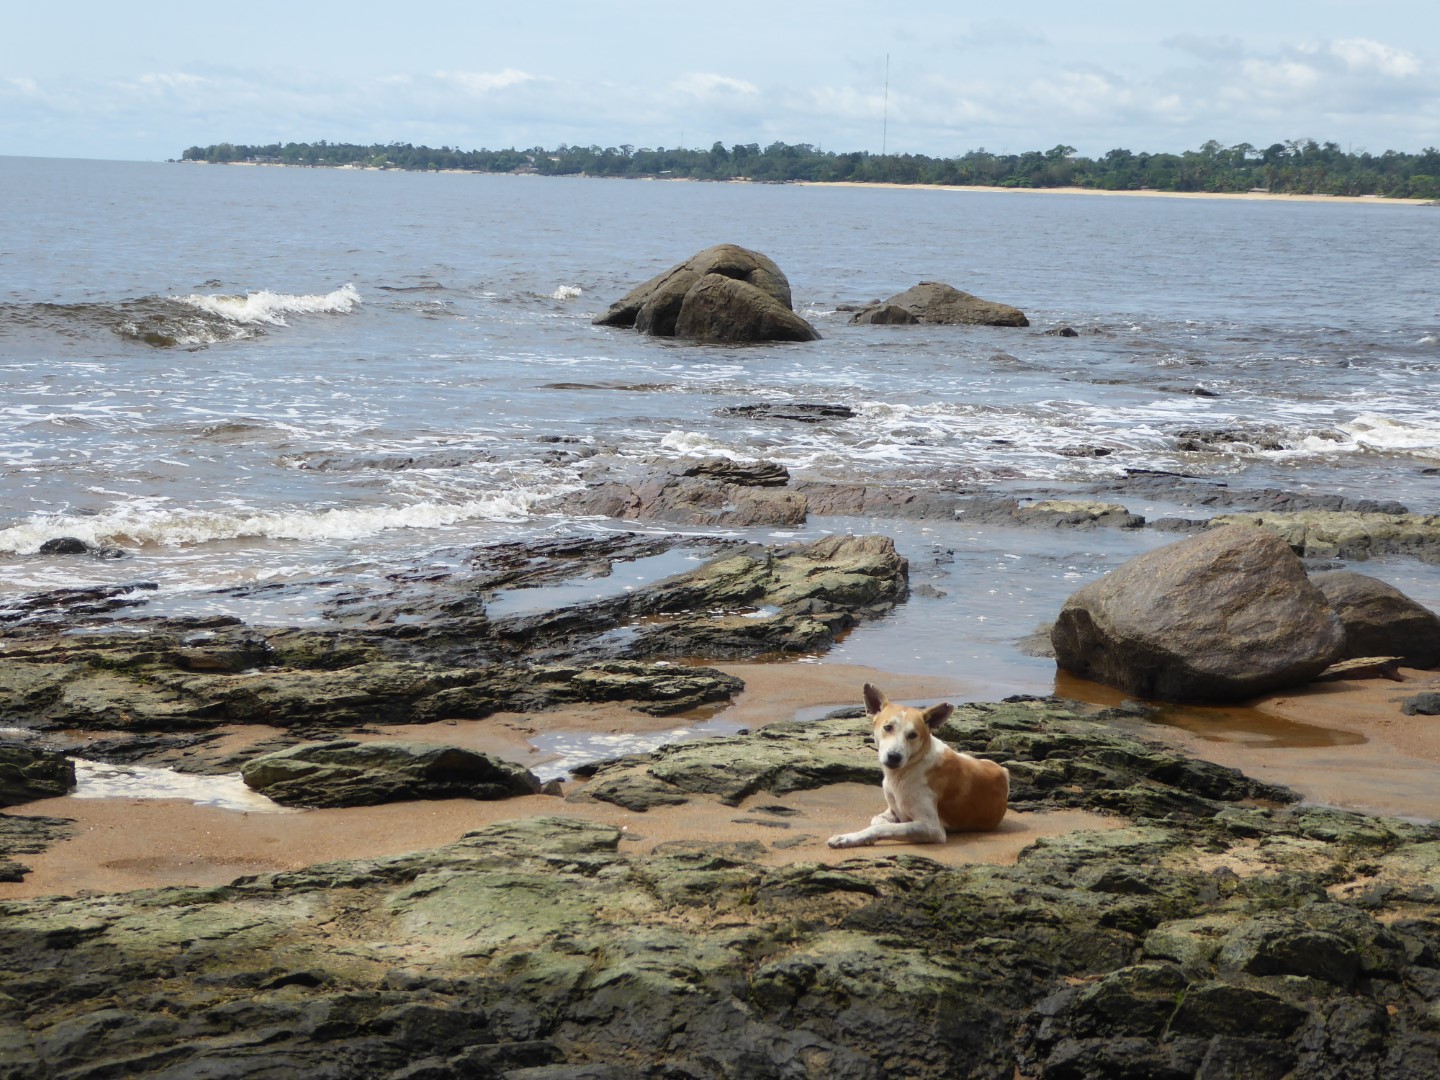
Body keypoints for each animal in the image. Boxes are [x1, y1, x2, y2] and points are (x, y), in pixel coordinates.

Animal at [827, 683, 1009, 848]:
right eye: (888, 727)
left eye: (913, 735)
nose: (894, 757)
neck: (905, 771)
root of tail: (1004, 770)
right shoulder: (892, 810)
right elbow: (878, 820)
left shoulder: (932, 828)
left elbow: (883, 827)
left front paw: (847, 838)